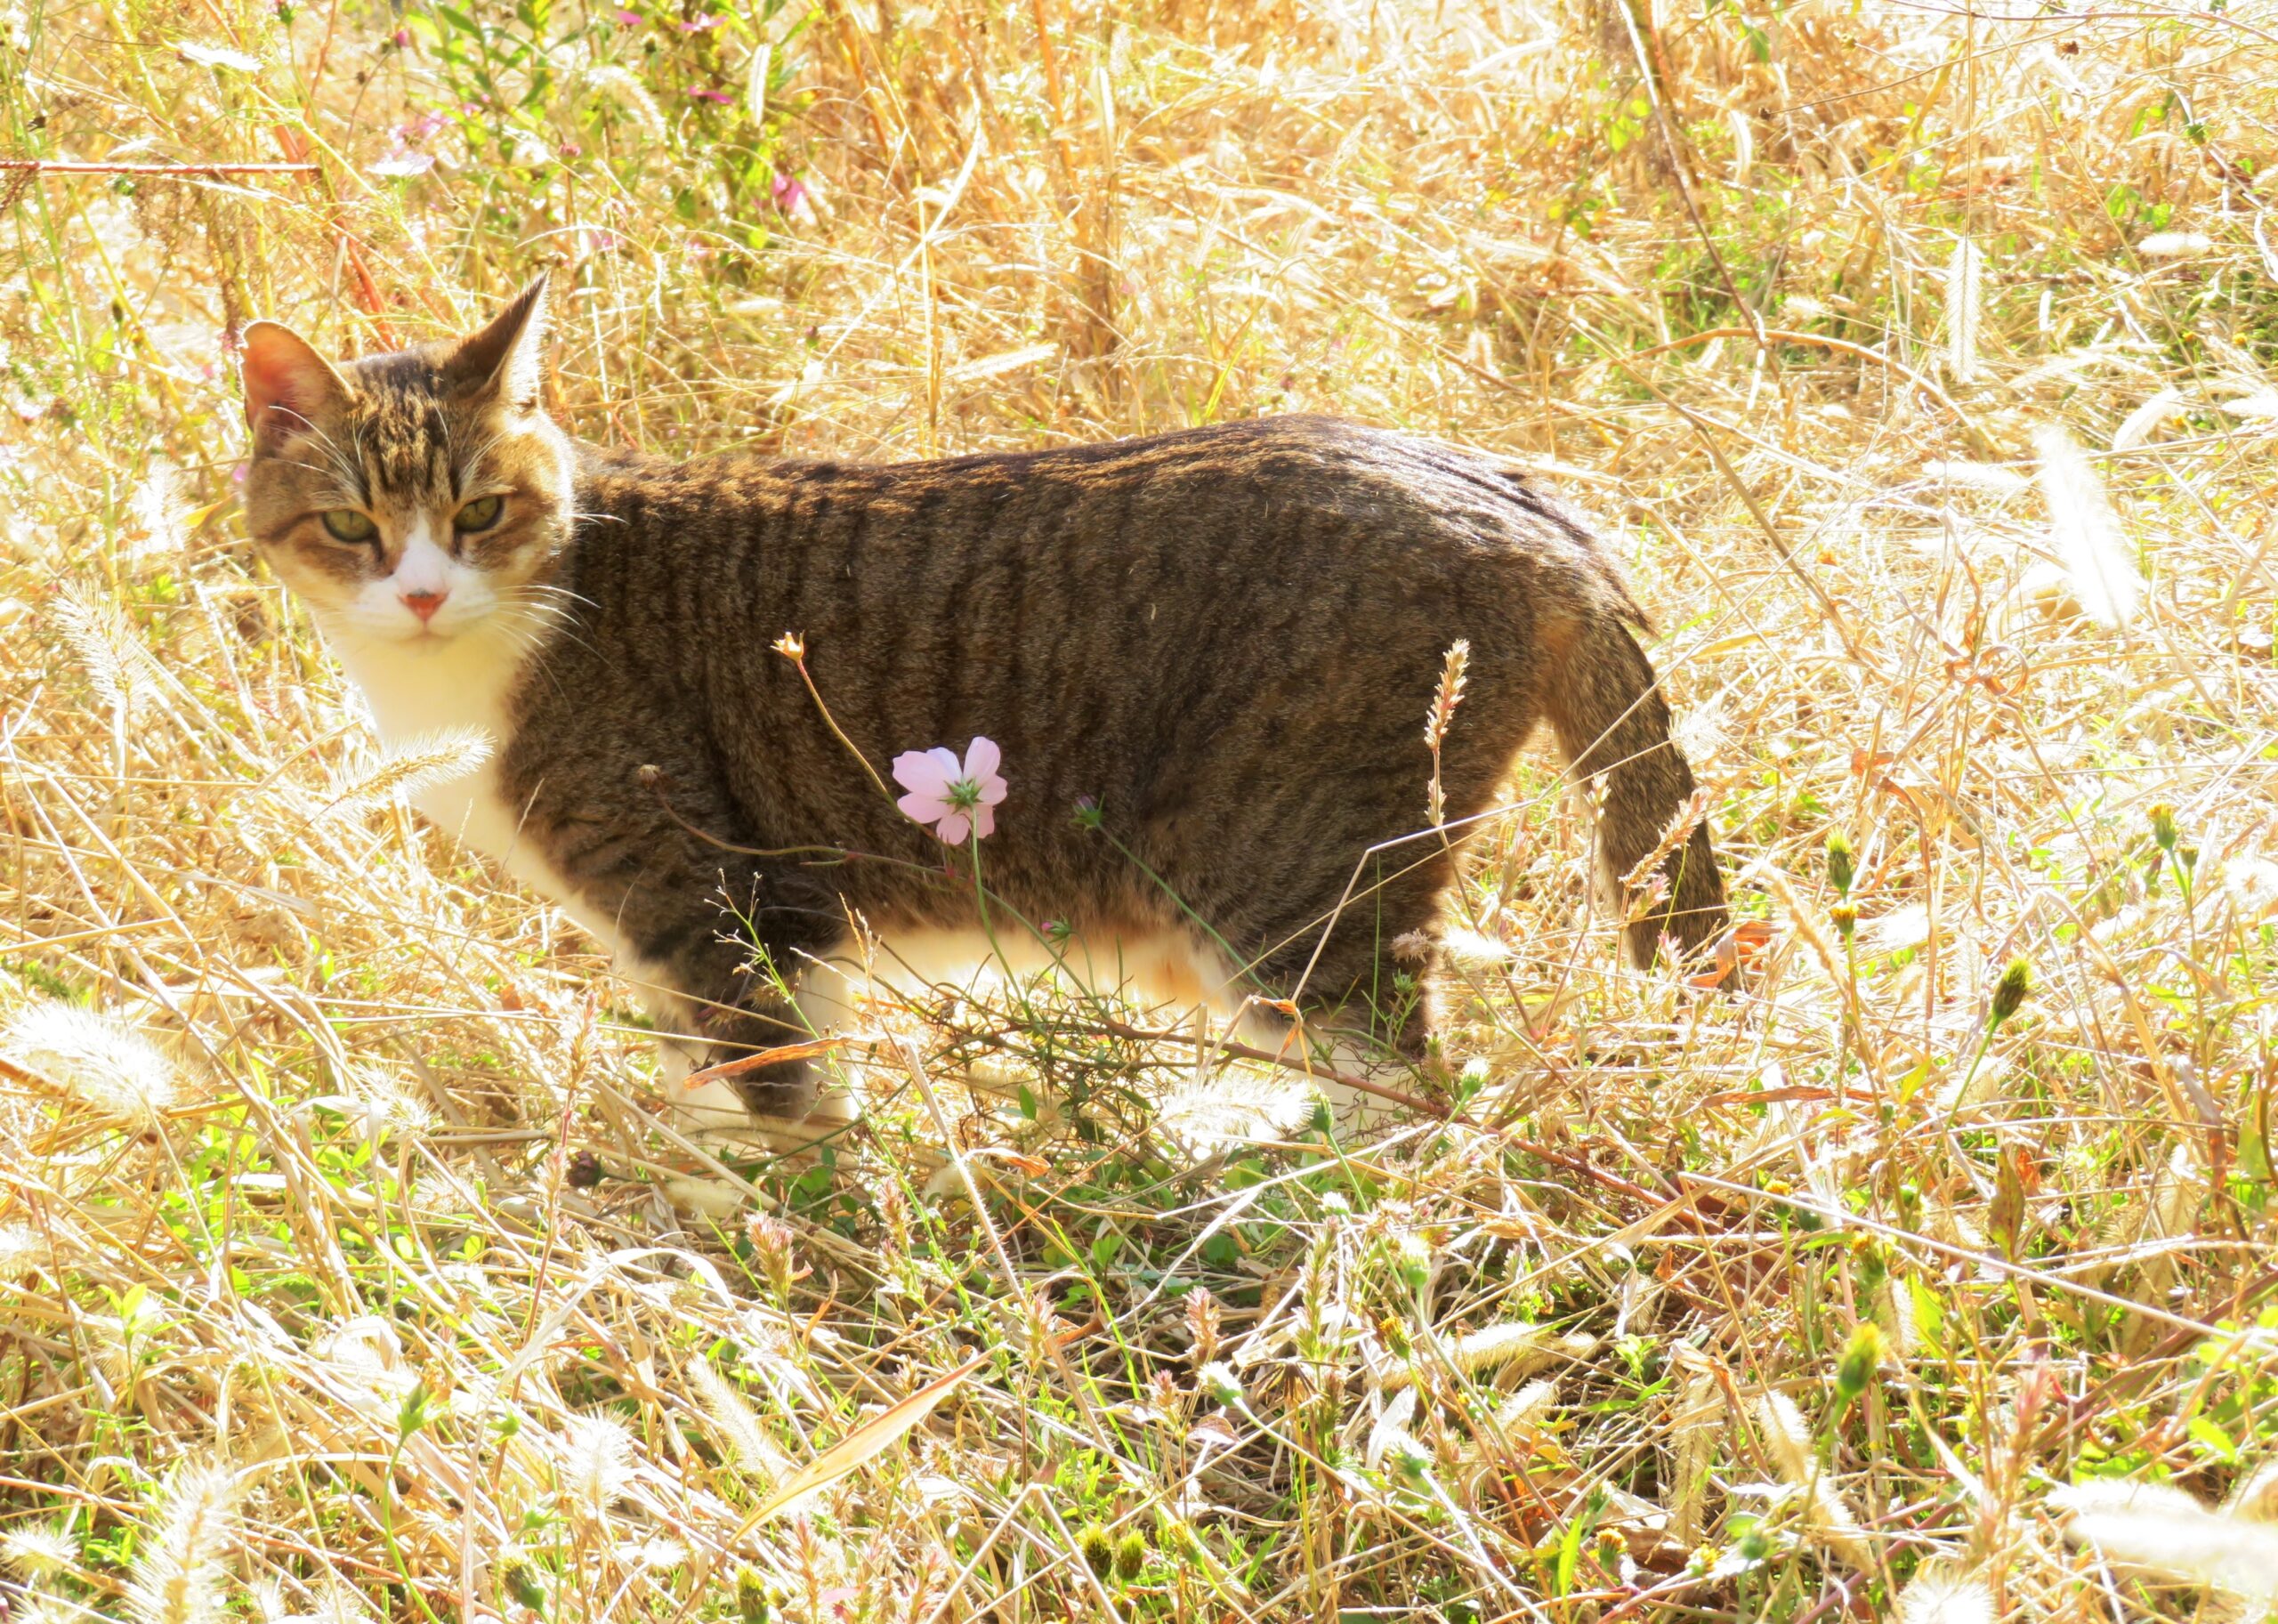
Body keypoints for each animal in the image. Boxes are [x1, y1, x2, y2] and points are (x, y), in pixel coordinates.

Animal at [240, 279, 1722, 1129]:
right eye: (352, 526)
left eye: (478, 512)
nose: (421, 592)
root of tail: (1516, 499)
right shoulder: (738, 930)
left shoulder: (711, 902)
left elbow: (769, 1101)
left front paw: (765, 1236)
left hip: (1290, 896)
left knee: (1415, 1096)